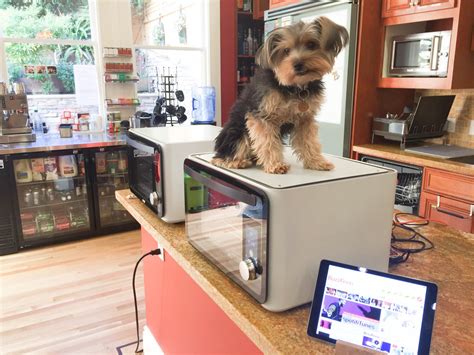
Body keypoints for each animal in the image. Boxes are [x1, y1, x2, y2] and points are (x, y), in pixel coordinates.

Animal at [213, 17, 350, 175]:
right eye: (286, 50)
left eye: (311, 44)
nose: (298, 64)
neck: (296, 87)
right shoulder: (261, 117)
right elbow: (267, 141)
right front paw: (275, 164)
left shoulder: (305, 119)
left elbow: (309, 141)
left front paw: (317, 162)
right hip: (237, 131)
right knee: (222, 155)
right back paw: (236, 161)